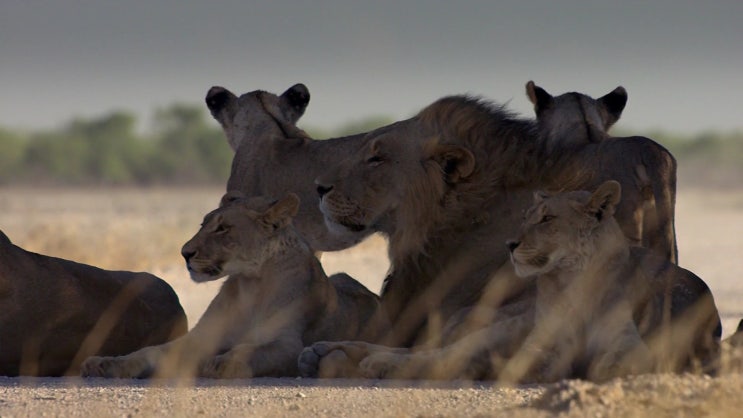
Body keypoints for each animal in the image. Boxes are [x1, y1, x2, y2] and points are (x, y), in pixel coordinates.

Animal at [80, 193, 384, 378]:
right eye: (203, 224)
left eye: (223, 228)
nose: (184, 253)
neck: (251, 285)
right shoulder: (199, 338)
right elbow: (150, 351)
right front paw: (107, 363)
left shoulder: (290, 343)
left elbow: (252, 350)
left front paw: (222, 363)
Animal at [506, 180, 720, 382]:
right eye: (525, 218)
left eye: (547, 218)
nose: (510, 244)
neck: (573, 279)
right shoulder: (542, 339)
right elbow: (523, 365)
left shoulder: (629, 343)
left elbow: (604, 367)